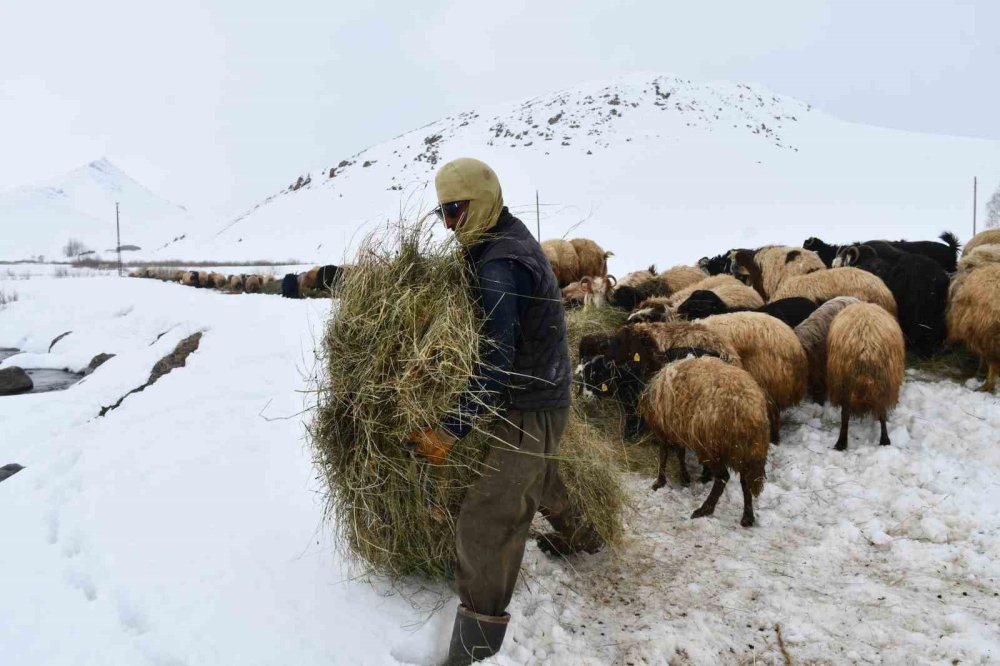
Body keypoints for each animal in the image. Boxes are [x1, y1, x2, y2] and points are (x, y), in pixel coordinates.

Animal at [640, 356, 772, 528]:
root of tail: (750, 412)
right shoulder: (678, 429)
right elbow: (680, 453)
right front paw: (684, 477)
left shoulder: (664, 428)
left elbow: (664, 455)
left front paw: (659, 482)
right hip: (744, 452)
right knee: (745, 481)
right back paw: (747, 517)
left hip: (713, 447)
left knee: (723, 477)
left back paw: (704, 509)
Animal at [824, 304, 912, 448]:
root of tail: (866, 345)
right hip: (881, 381)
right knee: (880, 411)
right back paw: (884, 440)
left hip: (846, 382)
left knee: (846, 413)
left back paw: (841, 443)